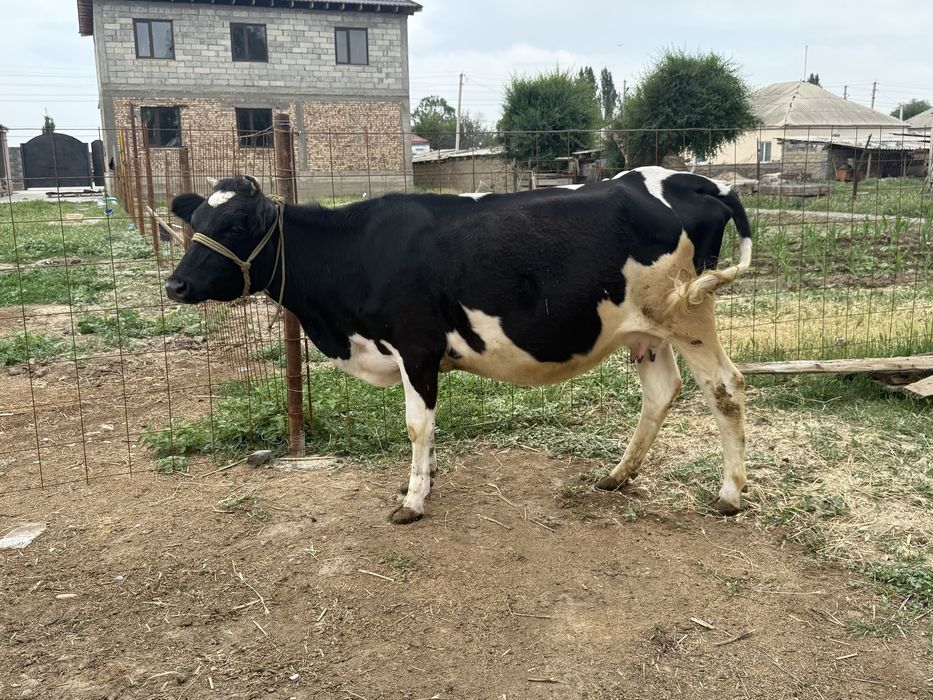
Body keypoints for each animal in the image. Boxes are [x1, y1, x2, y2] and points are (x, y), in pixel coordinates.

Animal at [166, 167, 753, 524]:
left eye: (236, 224)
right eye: (195, 221)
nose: (176, 285)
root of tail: (696, 181)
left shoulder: (415, 347)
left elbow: (415, 425)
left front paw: (412, 499)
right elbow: (426, 429)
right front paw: (425, 480)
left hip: (689, 312)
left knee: (725, 387)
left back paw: (728, 494)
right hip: (646, 330)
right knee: (662, 392)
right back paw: (617, 476)